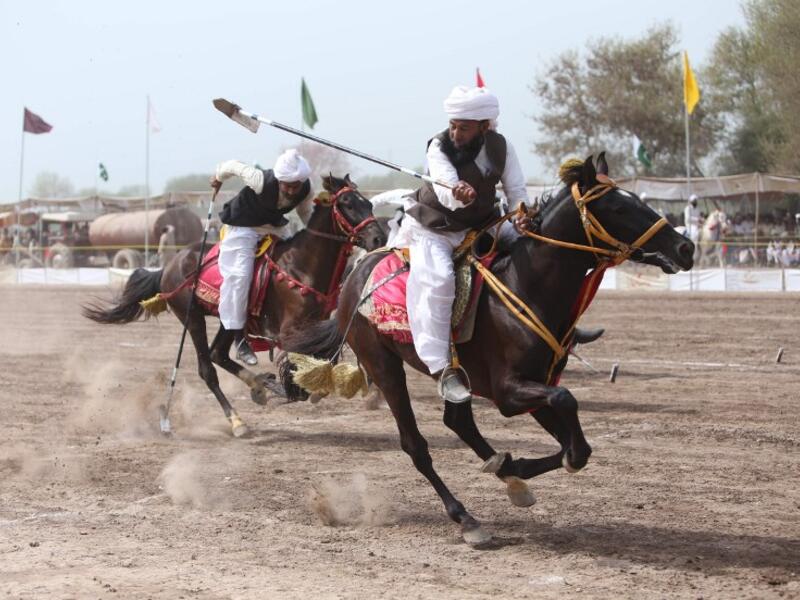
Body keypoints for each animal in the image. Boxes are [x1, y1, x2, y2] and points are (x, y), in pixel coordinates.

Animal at [83, 175, 386, 437]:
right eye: (347, 204)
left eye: (369, 204)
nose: (378, 238)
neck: (301, 266)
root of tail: (169, 265)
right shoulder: (290, 329)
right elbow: (299, 358)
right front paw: (296, 388)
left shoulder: (319, 323)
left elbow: (326, 354)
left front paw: (309, 387)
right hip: (193, 317)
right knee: (207, 369)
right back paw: (237, 420)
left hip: (228, 317)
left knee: (218, 354)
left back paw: (259, 386)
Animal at [283, 154, 694, 544]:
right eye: (618, 207)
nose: (685, 247)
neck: (526, 283)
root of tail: (356, 275)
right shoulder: (507, 392)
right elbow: (567, 407)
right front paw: (517, 467)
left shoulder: (535, 384)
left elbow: (574, 442)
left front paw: (515, 470)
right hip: (384, 366)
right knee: (416, 445)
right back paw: (466, 518)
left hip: (451, 375)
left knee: (458, 421)